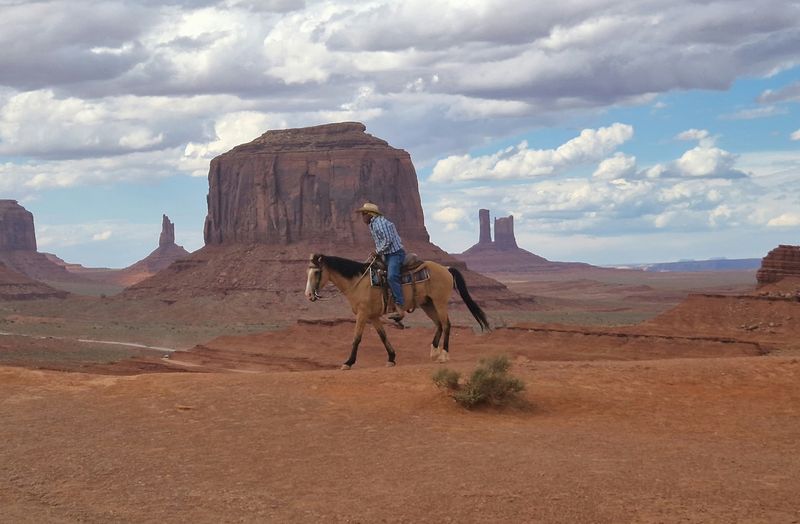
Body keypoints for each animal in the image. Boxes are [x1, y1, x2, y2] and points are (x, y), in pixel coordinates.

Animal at [304, 253, 490, 370]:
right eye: (308, 272)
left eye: (317, 272)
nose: (308, 295)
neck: (359, 282)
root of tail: (446, 268)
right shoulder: (373, 316)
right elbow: (383, 336)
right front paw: (391, 358)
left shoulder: (363, 314)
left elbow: (356, 338)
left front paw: (348, 362)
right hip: (427, 304)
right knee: (438, 324)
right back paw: (434, 352)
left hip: (440, 302)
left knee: (446, 324)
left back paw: (444, 355)